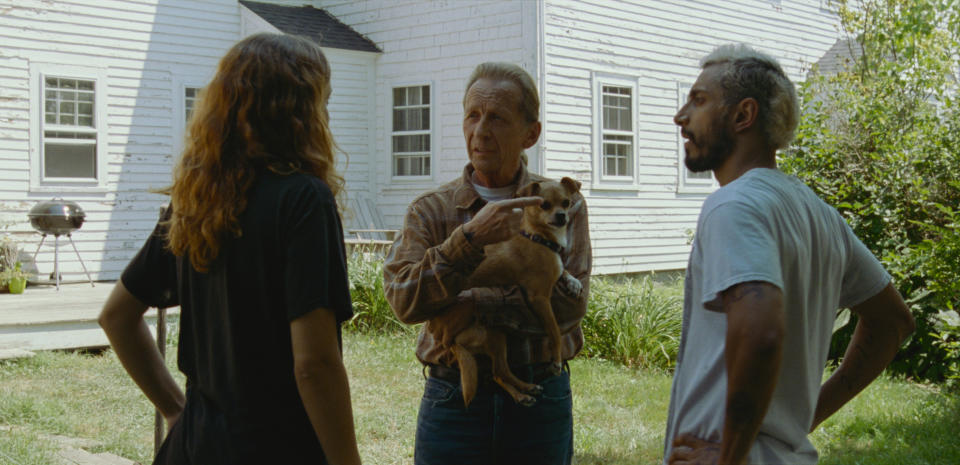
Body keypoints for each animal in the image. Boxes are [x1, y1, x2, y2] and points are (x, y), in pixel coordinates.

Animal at [438, 176, 580, 404]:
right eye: (544, 205)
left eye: (566, 202)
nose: (561, 216)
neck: (538, 238)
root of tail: (449, 342)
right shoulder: (539, 298)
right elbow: (555, 331)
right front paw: (557, 361)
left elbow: (562, 271)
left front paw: (573, 281)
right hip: (493, 332)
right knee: (500, 371)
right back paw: (524, 391)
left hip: (498, 335)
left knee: (499, 372)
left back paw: (525, 391)